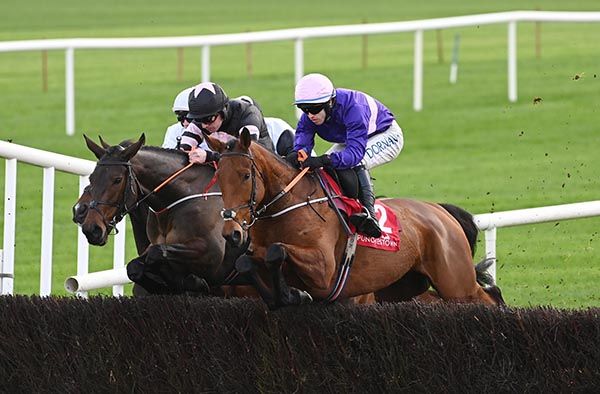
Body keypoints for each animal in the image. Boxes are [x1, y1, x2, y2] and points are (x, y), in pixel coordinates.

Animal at [204, 129, 504, 308]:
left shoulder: (324, 269)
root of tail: (440, 211)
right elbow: (247, 262)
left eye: (245, 175)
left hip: (456, 282)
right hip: (404, 285)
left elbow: (276, 251)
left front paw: (292, 293)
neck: (287, 206)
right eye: (219, 177)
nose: (231, 232)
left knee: (487, 296)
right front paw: (288, 295)